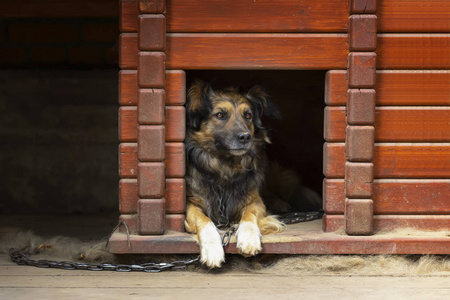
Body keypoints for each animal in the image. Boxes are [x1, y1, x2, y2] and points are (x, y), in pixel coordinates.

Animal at [184, 79, 284, 268]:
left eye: (248, 115)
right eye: (220, 115)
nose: (245, 137)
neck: (226, 167)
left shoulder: (255, 201)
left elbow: (249, 216)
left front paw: (249, 238)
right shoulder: (190, 204)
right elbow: (204, 220)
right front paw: (212, 249)